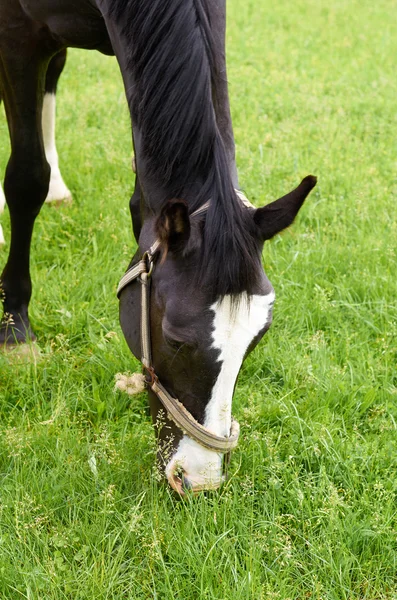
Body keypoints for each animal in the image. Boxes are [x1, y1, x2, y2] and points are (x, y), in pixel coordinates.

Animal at [0, 0, 316, 494]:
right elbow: (26, 177)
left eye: (258, 337)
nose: (199, 479)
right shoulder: (17, 33)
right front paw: (15, 326)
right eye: (174, 339)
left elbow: (139, 204)